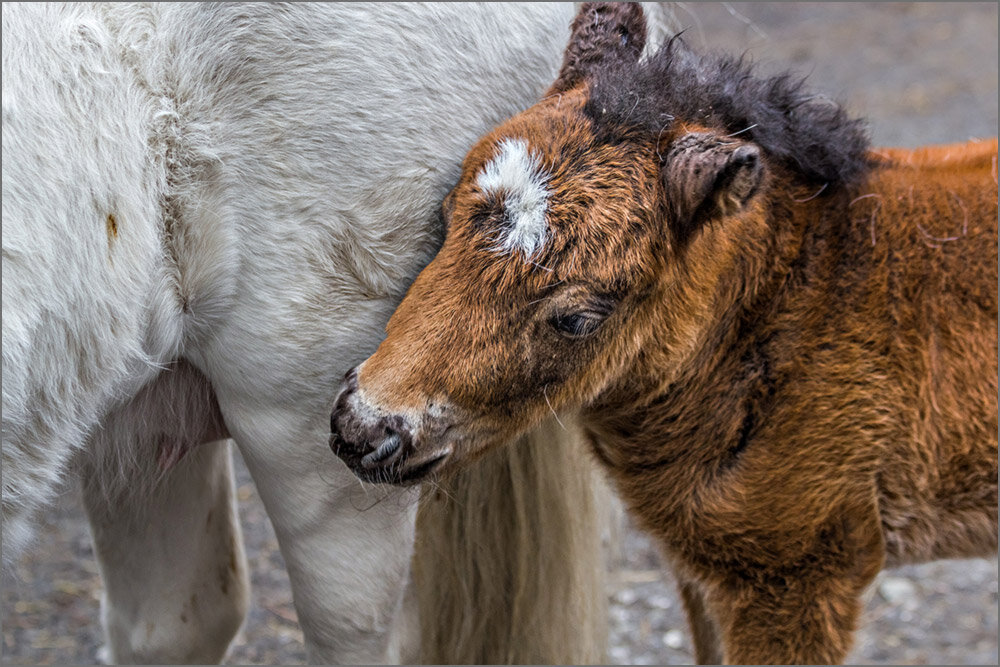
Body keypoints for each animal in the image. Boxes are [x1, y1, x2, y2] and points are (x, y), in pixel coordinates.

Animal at [330, 3, 1000, 664]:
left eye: (578, 318)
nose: (362, 429)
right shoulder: (703, 566)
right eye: (445, 220)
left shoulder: (800, 570)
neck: (792, 305)